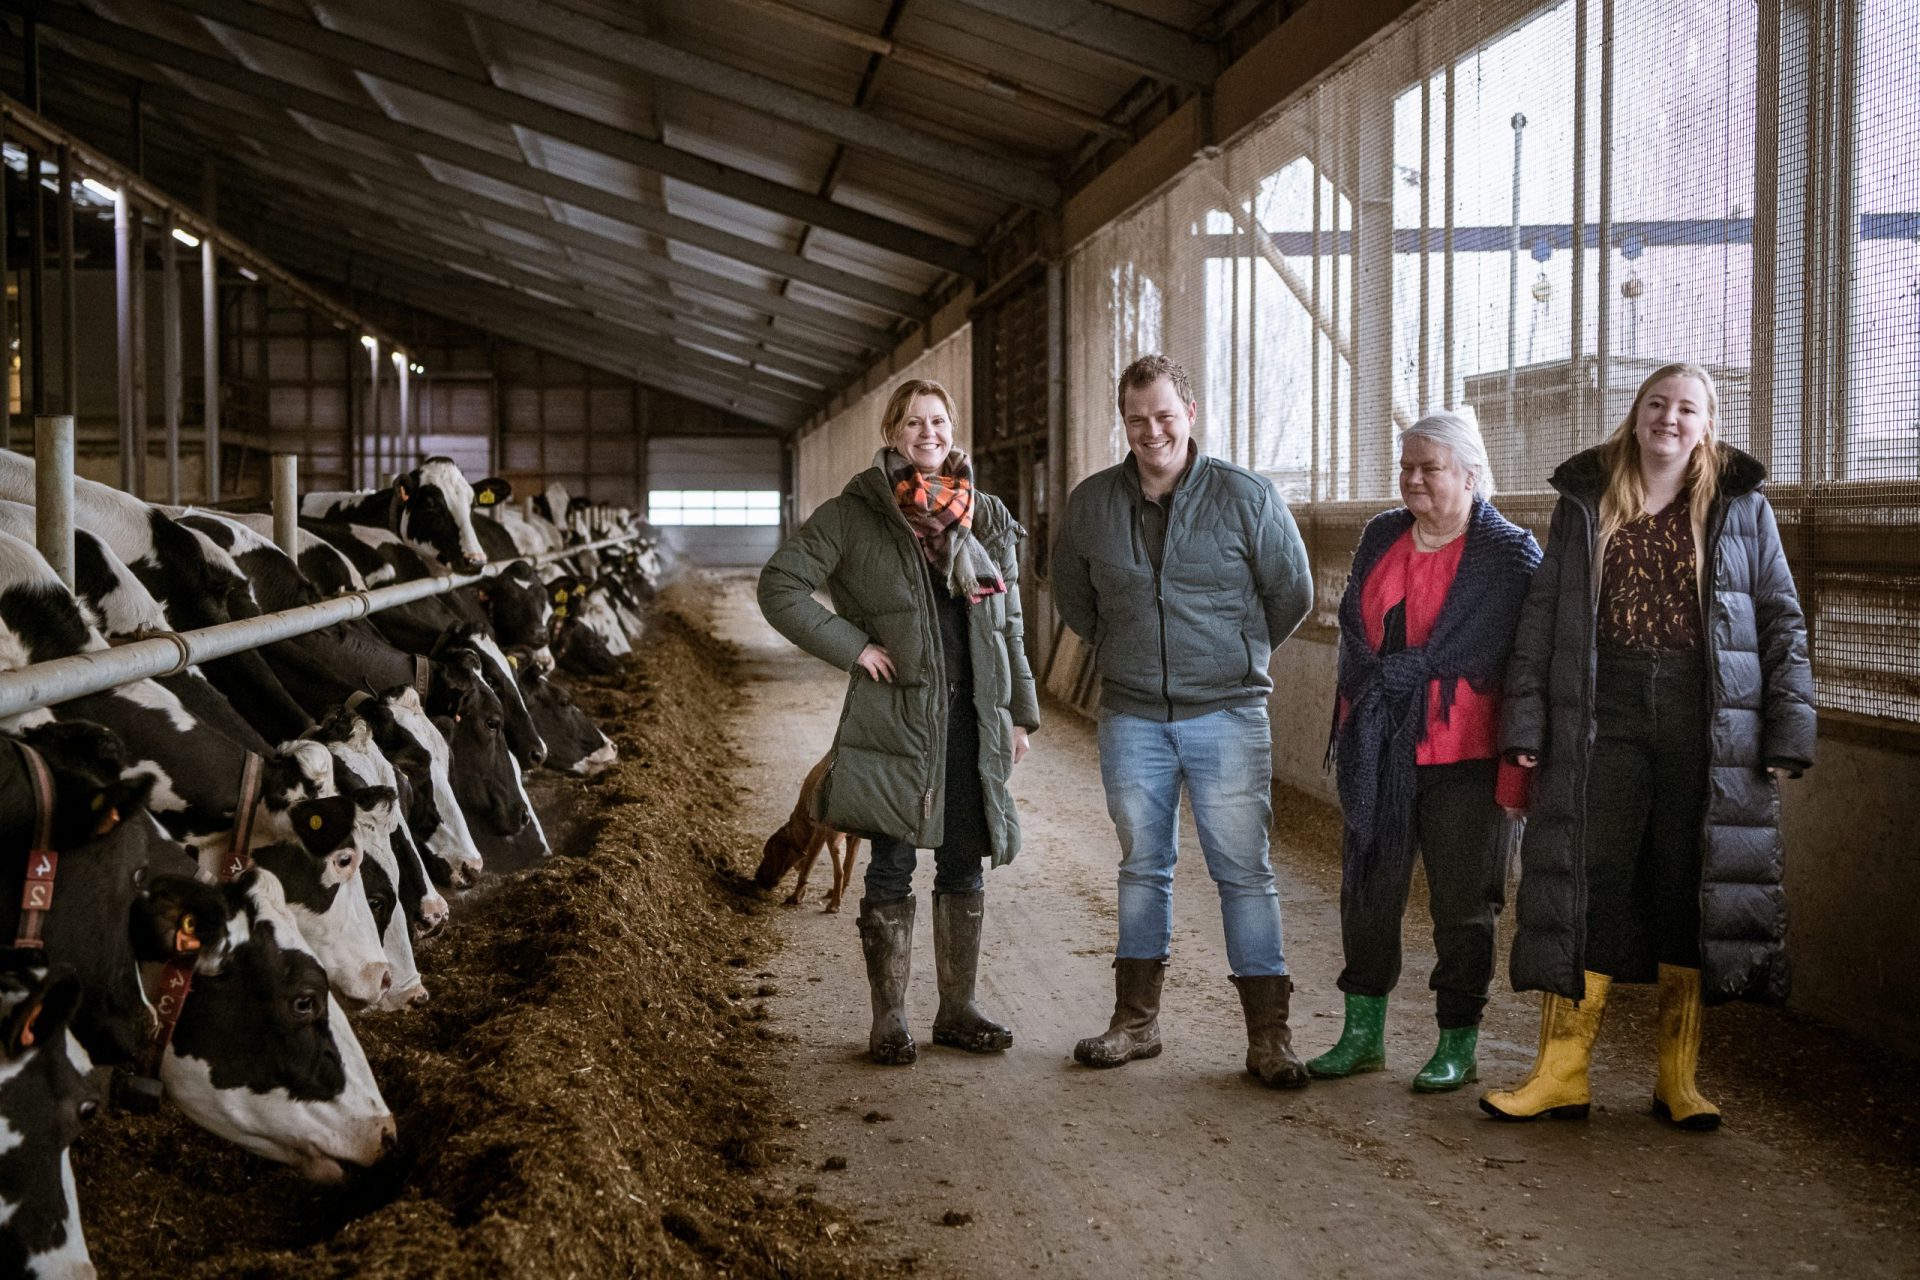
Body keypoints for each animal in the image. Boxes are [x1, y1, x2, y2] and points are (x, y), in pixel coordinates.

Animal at [756, 756, 864, 917]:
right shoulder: (853, 837)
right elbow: (848, 868)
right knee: (844, 871)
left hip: (831, 838)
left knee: (838, 872)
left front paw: (795, 897)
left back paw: (834, 905)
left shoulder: (818, 835)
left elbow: (805, 870)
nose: (756, 878)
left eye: (768, 853)